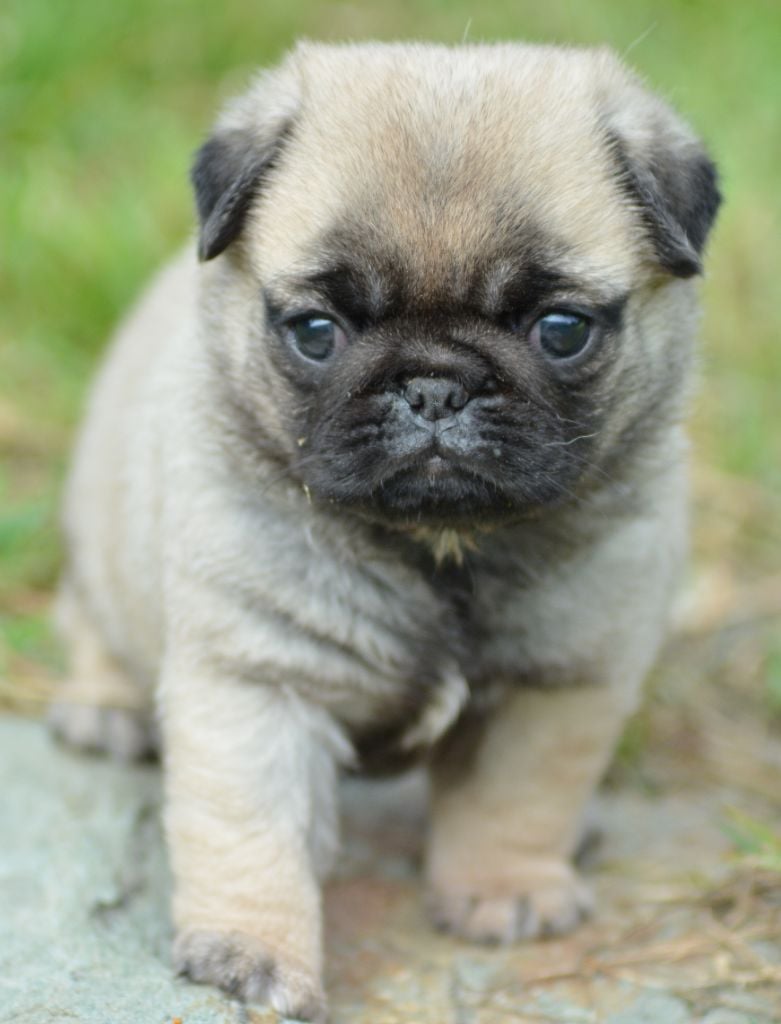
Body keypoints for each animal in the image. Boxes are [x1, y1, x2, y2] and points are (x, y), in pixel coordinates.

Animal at [50, 42, 720, 1022]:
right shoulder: (259, 681)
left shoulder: (557, 686)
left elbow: (517, 801)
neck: (440, 551)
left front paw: (504, 889)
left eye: (560, 330)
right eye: (316, 332)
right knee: (91, 618)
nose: (435, 386)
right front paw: (250, 950)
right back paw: (102, 710)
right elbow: (252, 832)